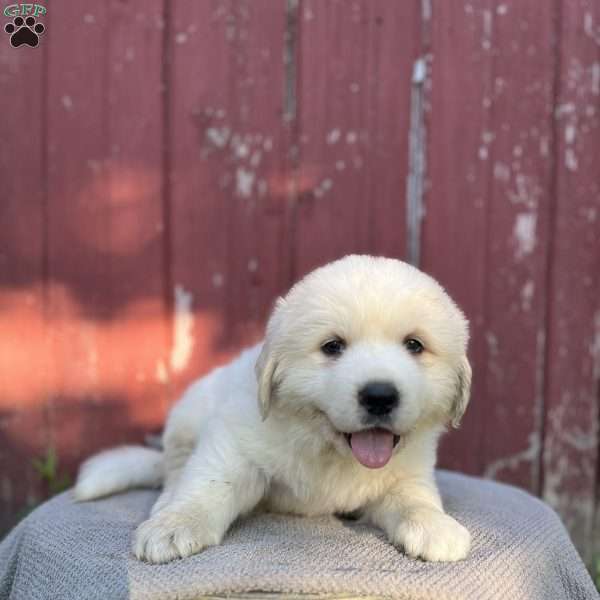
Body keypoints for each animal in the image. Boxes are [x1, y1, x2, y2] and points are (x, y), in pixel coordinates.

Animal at [74, 255, 474, 564]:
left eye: (414, 345)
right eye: (332, 346)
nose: (379, 396)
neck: (329, 451)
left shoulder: (408, 470)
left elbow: (413, 497)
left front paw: (435, 525)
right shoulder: (235, 444)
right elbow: (209, 484)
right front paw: (175, 525)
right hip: (187, 417)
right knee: (175, 469)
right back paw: (166, 503)